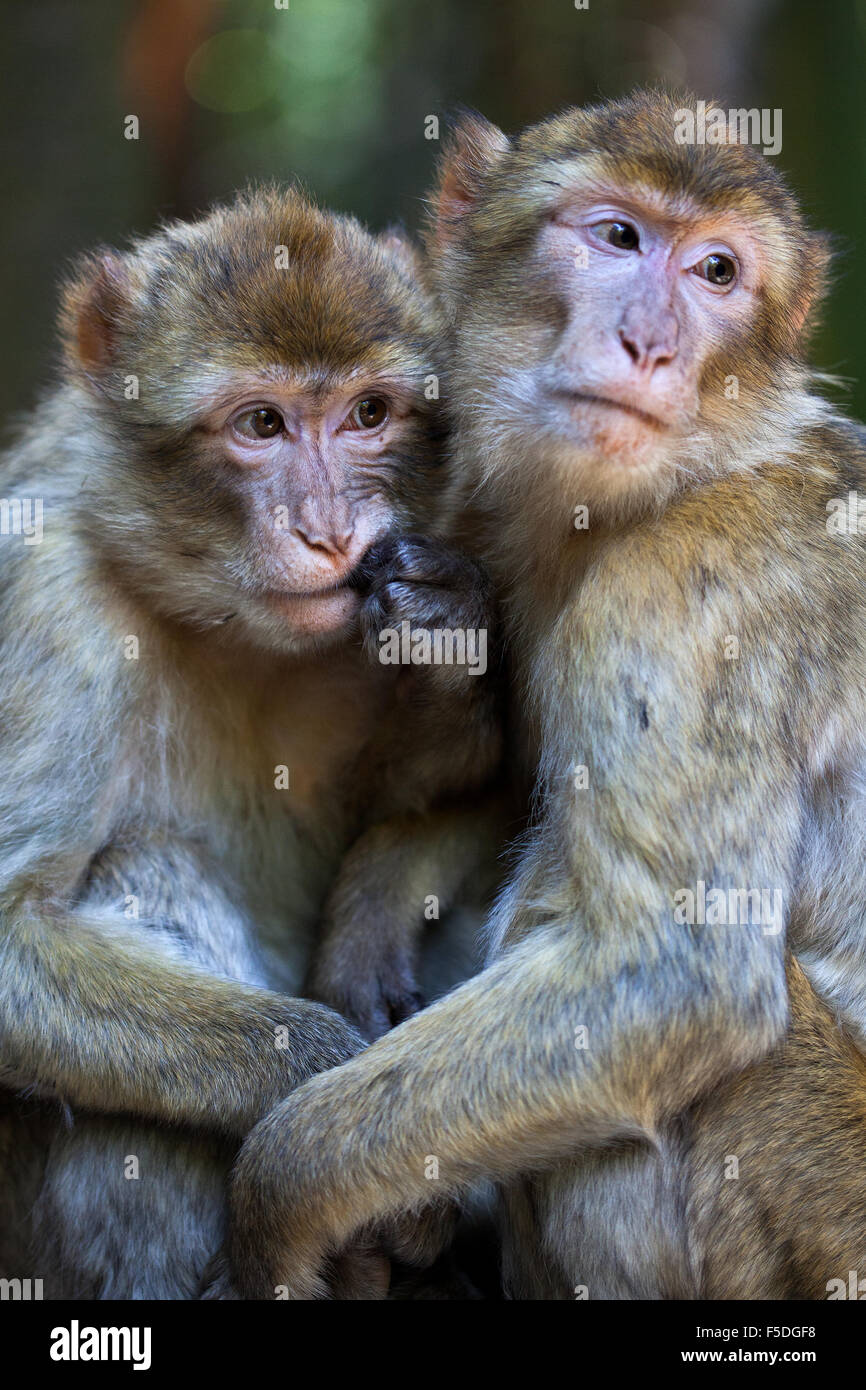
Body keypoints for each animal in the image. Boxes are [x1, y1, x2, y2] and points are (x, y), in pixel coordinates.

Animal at [0, 185, 504, 1298]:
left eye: (368, 413)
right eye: (261, 424)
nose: (329, 532)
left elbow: (493, 791)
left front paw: (365, 923)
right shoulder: (45, 597)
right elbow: (11, 930)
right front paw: (325, 1094)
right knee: (146, 866)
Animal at [208, 91, 866, 1301]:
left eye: (716, 271)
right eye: (617, 237)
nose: (650, 342)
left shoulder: (682, 590)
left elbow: (674, 975)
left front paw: (278, 1196)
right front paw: (375, 907)